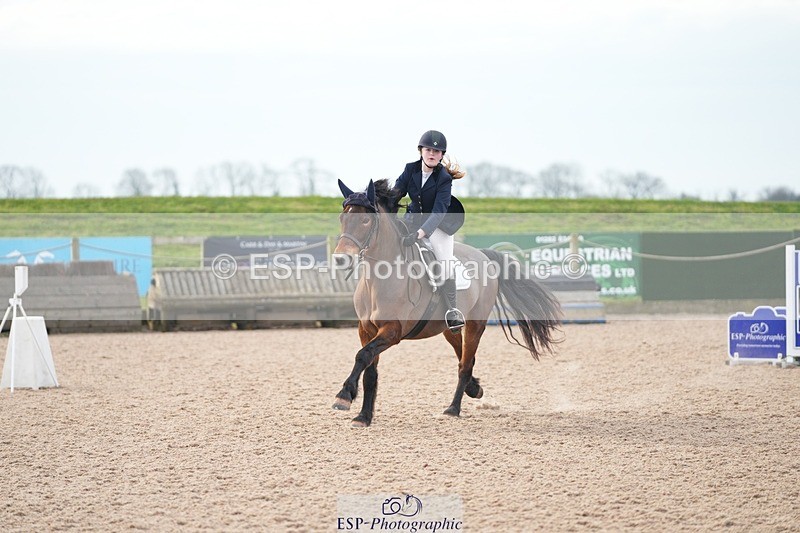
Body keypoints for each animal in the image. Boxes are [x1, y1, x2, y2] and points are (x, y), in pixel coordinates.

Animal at [331, 178, 562, 427]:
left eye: (365, 220)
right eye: (342, 218)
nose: (341, 259)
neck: (379, 280)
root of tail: (483, 255)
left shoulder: (392, 331)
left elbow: (362, 355)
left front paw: (343, 396)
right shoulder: (366, 330)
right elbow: (369, 370)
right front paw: (363, 416)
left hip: (476, 324)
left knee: (465, 364)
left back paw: (453, 408)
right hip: (448, 328)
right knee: (464, 356)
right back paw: (474, 388)